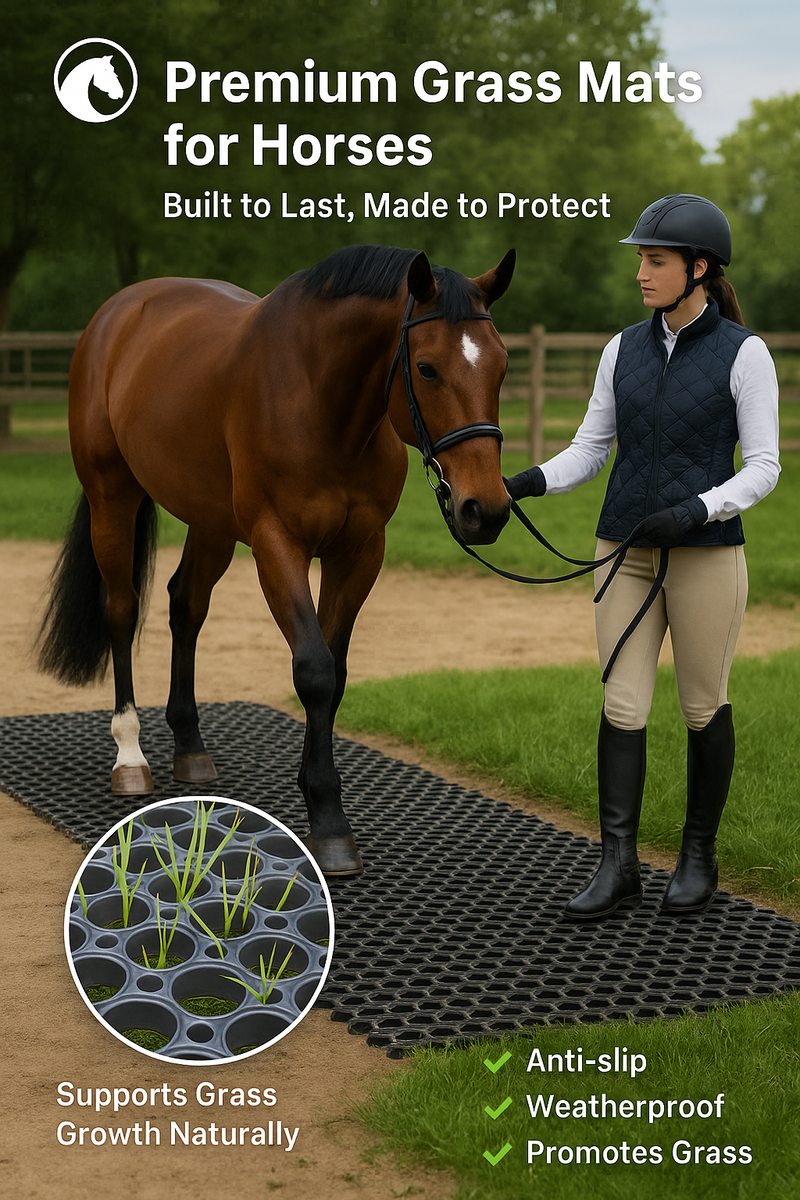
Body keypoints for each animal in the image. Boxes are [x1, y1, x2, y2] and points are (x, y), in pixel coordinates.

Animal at [36, 244, 515, 876]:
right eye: (428, 368)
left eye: (502, 366)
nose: (486, 510)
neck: (322, 401)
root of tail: (116, 314)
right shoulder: (275, 544)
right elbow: (313, 669)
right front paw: (329, 820)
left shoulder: (360, 551)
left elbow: (335, 673)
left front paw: (318, 796)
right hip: (111, 497)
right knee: (121, 609)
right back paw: (130, 756)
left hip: (210, 519)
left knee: (186, 605)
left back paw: (189, 747)